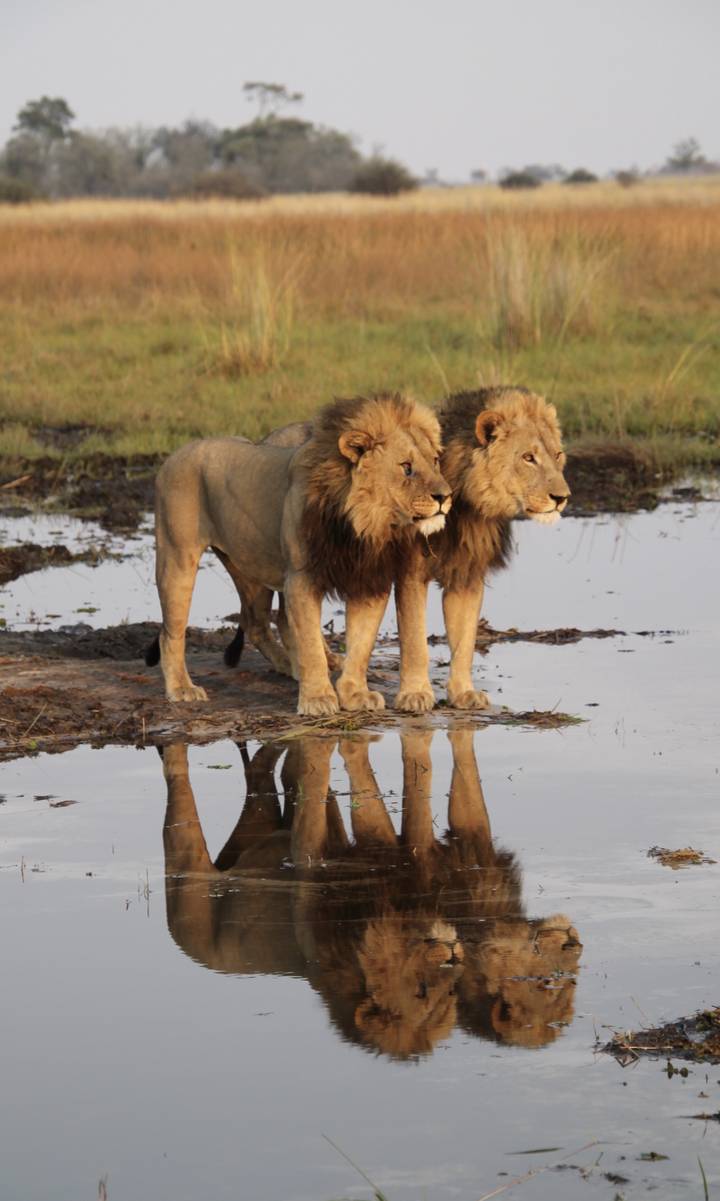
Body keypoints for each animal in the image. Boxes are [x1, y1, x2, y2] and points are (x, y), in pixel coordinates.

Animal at [144, 394, 451, 715]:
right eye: (406, 467)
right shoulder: (301, 578)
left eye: (434, 461)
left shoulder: (366, 578)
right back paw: (182, 688)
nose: (445, 496)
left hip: (253, 567)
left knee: (256, 622)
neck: (365, 523)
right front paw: (318, 698)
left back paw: (287, 665)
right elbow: (311, 643)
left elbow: (361, 643)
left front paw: (355, 694)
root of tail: (173, 456)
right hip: (177, 557)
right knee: (171, 632)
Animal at [161, 728, 581, 1060]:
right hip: (188, 881)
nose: (575, 944)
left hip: (258, 818)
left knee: (259, 777)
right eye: (546, 985)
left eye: (566, 992)